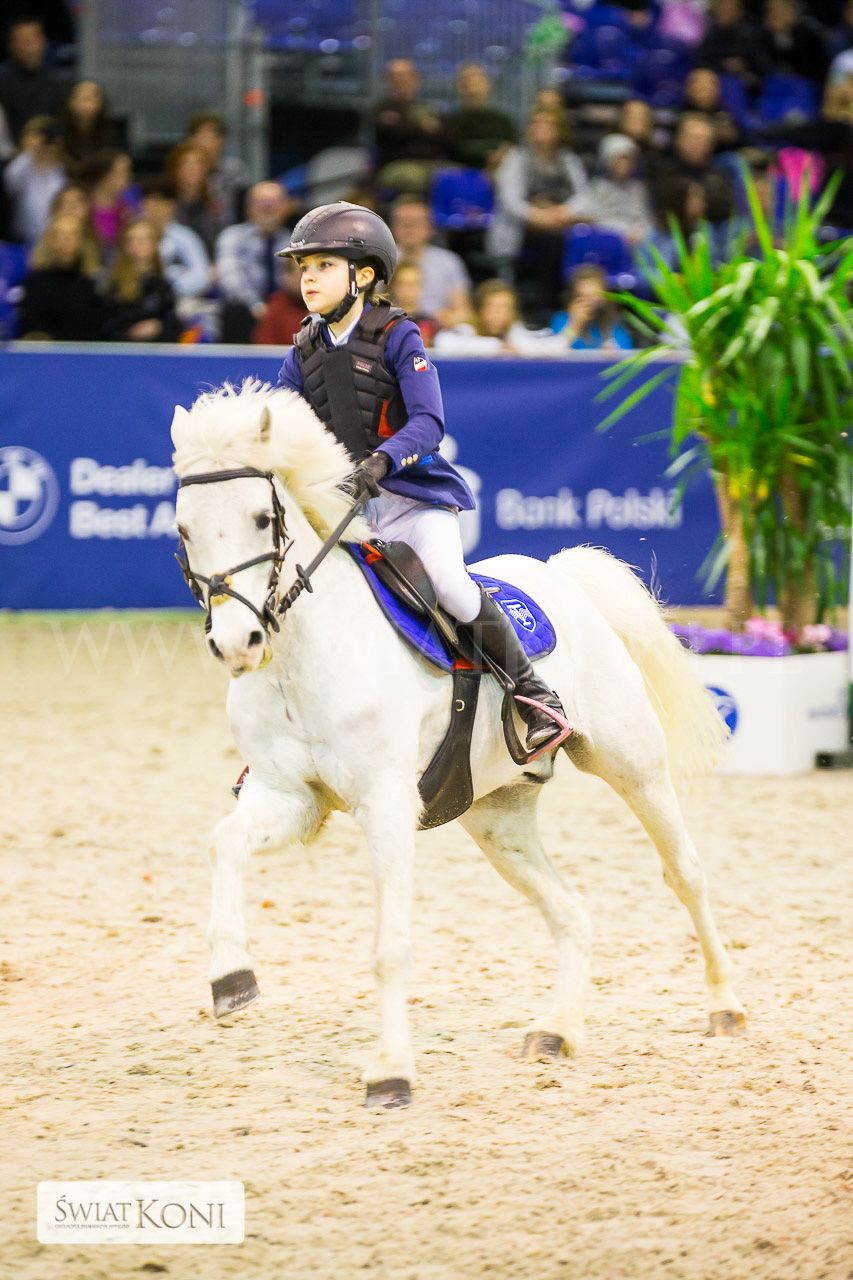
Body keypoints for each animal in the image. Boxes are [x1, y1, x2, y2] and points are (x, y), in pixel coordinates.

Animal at [171, 379, 746, 1111]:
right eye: (184, 530)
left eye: (260, 519)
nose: (236, 645)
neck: (303, 655)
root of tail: (563, 578)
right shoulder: (289, 797)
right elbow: (224, 844)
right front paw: (231, 977)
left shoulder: (385, 805)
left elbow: (389, 945)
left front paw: (390, 1071)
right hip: (496, 818)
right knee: (572, 913)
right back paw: (555, 1030)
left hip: (630, 767)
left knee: (684, 873)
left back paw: (725, 1006)